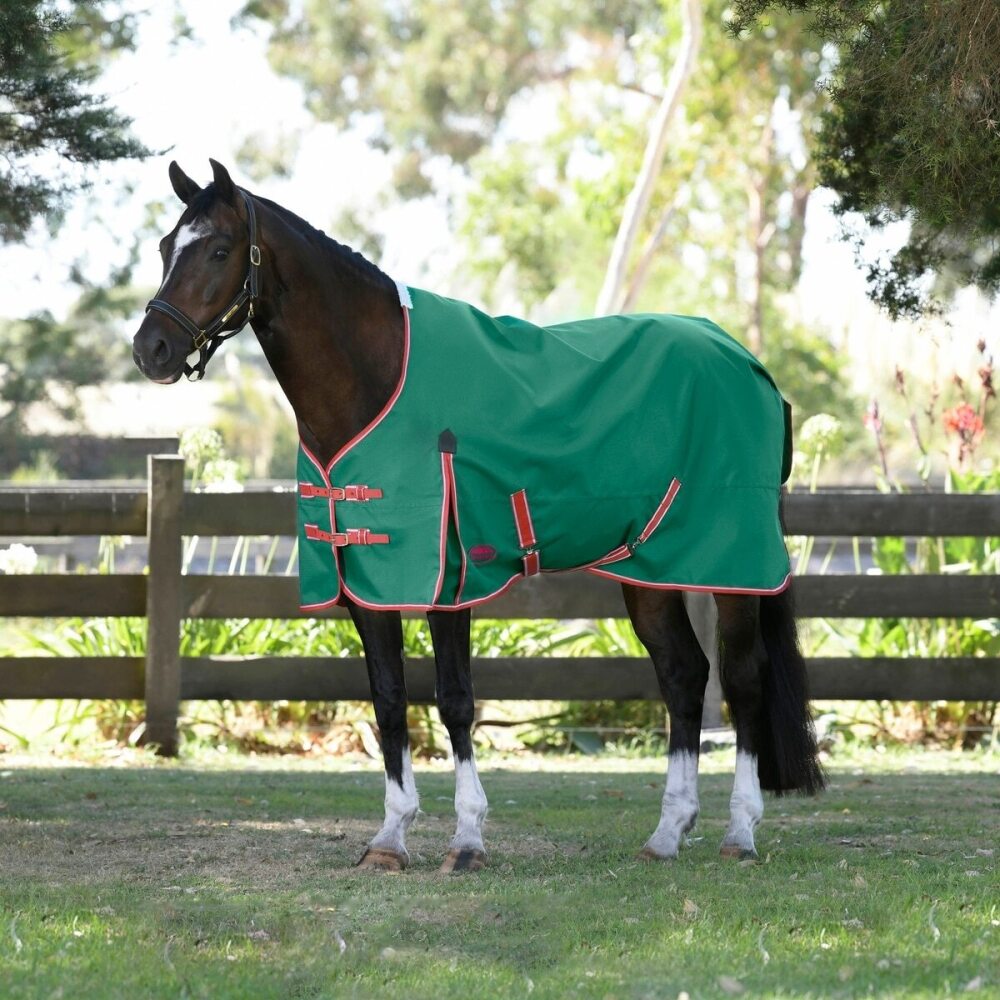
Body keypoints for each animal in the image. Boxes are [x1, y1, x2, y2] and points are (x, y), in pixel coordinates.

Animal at [132, 159, 824, 873]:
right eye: (164, 247)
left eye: (219, 249)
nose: (151, 349)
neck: (377, 382)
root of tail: (748, 362)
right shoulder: (366, 584)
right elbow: (388, 700)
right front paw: (390, 838)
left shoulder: (447, 581)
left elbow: (455, 702)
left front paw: (466, 840)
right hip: (649, 570)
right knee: (684, 677)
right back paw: (666, 833)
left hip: (732, 567)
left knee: (742, 681)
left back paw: (739, 832)